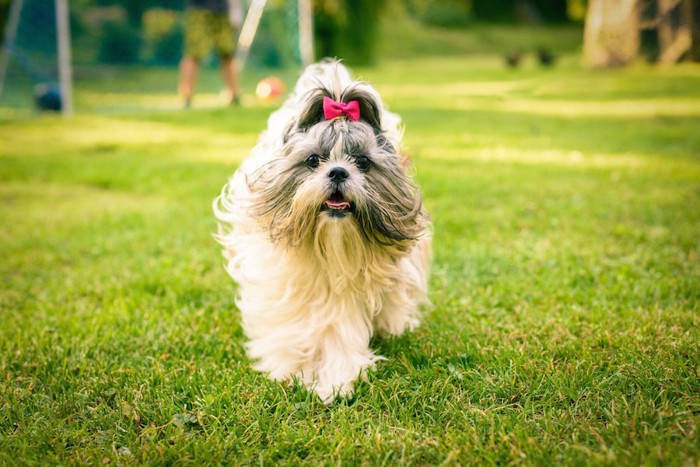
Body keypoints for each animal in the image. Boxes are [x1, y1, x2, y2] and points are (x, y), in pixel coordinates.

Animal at [213, 59, 432, 402]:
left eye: (362, 162)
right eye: (314, 160)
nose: (339, 171)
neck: (331, 248)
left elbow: (340, 335)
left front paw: (335, 381)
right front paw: (292, 369)